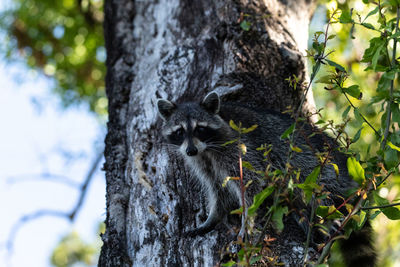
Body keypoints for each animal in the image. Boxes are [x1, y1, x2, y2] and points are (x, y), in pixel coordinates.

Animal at [158, 92, 376, 267]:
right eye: (179, 132)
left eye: (200, 129)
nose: (190, 150)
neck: (206, 149)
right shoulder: (204, 163)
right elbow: (217, 190)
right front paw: (213, 217)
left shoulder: (238, 148)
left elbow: (251, 185)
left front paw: (247, 221)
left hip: (323, 168)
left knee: (318, 190)